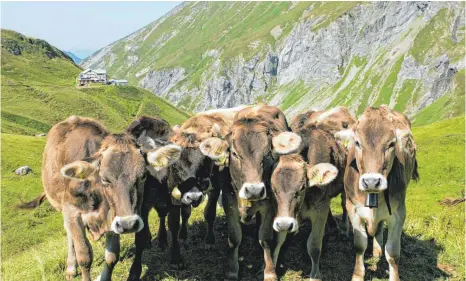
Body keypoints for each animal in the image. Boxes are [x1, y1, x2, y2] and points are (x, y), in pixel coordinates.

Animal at [18, 115, 179, 278]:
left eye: (143, 176)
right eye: (104, 179)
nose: (128, 224)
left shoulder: (113, 217)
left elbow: (112, 257)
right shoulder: (72, 213)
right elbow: (84, 257)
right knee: (69, 235)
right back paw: (71, 267)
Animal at [198, 104, 300, 280]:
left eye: (268, 154)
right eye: (234, 153)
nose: (254, 190)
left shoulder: (269, 204)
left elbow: (265, 239)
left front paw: (269, 272)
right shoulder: (229, 200)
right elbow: (234, 238)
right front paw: (232, 270)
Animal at [334, 105, 418, 280]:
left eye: (391, 144)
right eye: (357, 143)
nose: (372, 181)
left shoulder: (399, 213)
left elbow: (393, 253)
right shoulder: (353, 208)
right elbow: (359, 245)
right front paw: (357, 275)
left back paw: (377, 250)